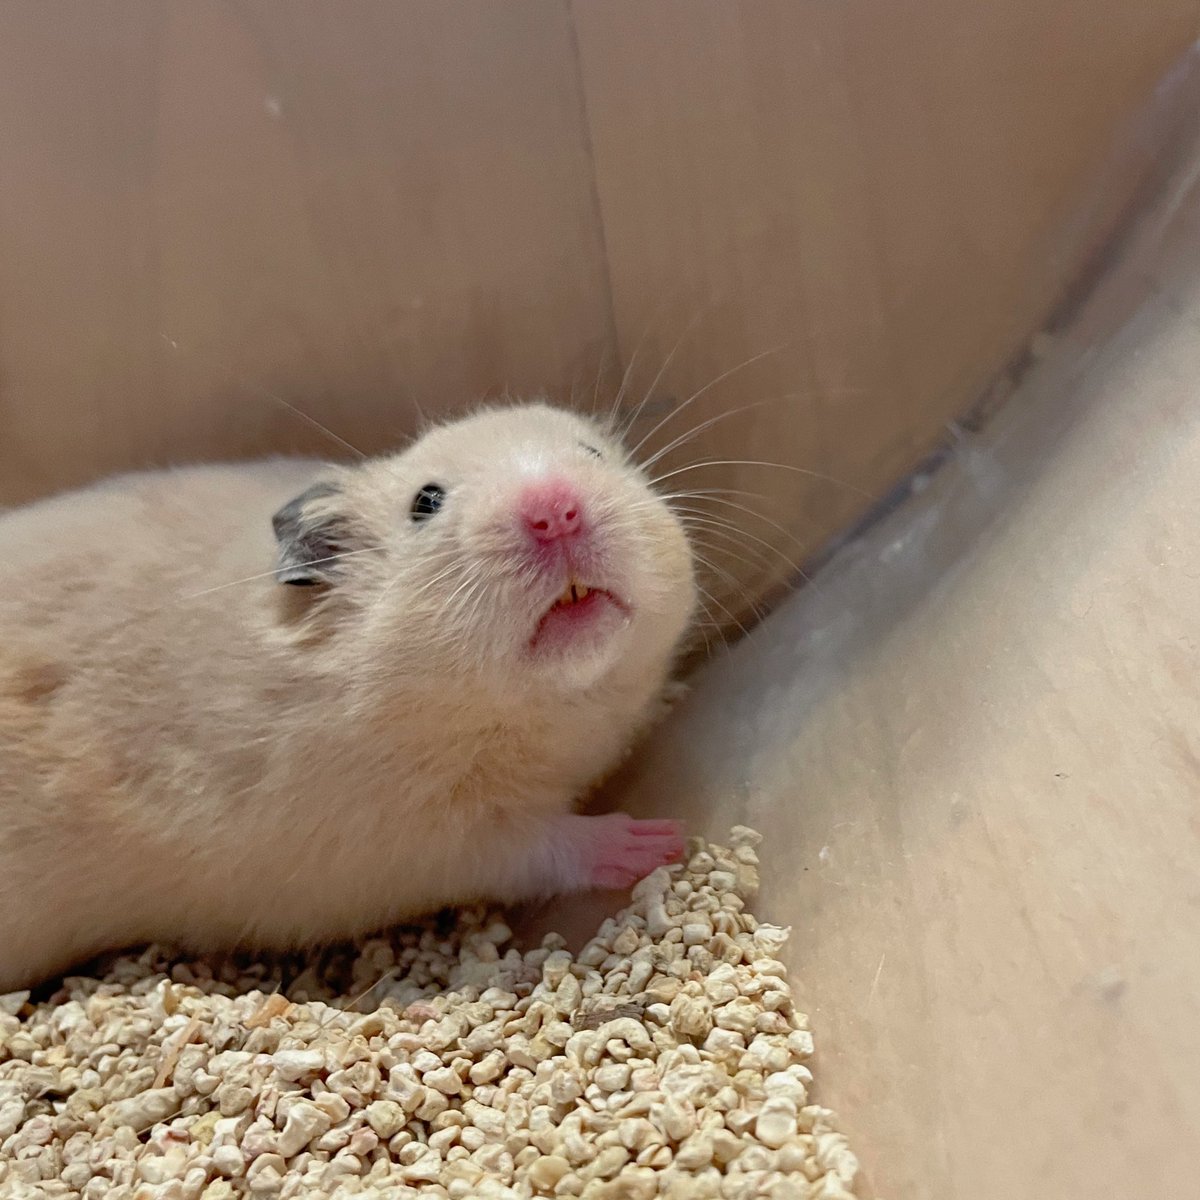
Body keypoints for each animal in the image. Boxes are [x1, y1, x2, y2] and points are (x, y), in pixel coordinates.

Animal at [0, 402, 696, 991]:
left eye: (592, 452)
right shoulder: (412, 840)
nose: (556, 510)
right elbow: (542, 844)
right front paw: (657, 840)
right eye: (426, 502)